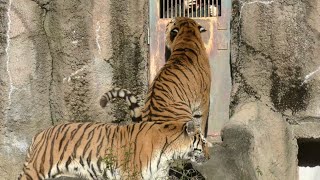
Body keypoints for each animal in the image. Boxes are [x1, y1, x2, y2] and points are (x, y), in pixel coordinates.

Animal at [19, 119, 210, 179]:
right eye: (203, 142)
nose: (209, 157)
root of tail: (39, 134)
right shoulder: (133, 175)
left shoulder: (158, 176)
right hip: (35, 171)